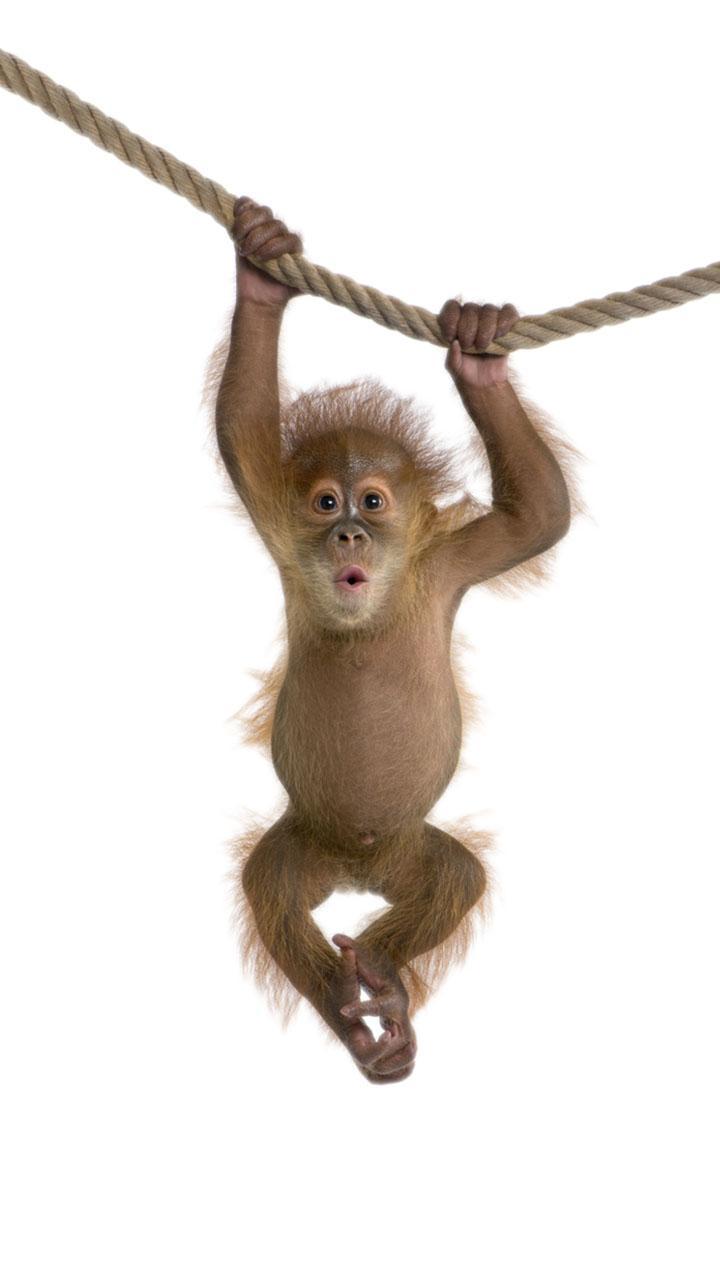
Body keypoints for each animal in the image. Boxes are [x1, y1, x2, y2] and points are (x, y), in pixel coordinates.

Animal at [212, 197, 574, 1083]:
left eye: (372, 502)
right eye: (325, 503)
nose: (348, 534)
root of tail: (358, 867)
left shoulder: (449, 565)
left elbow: (538, 515)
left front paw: (477, 353)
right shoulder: (278, 525)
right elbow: (241, 430)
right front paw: (261, 272)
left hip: (409, 853)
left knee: (456, 878)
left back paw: (380, 977)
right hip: (305, 844)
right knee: (270, 892)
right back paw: (352, 1013)